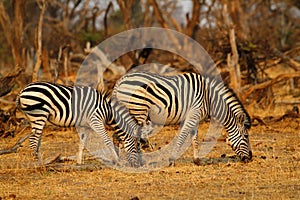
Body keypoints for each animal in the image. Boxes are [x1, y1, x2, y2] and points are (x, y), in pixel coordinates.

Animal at [15, 81, 145, 167]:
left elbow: (82, 143)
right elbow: (107, 140)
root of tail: (22, 91)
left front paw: (78, 162)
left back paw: (40, 160)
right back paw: (38, 163)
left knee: (37, 138)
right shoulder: (96, 121)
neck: (108, 110)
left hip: (34, 117)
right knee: (33, 139)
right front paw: (118, 161)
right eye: (137, 145)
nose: (139, 165)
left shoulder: (85, 126)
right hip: (39, 115)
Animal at [111, 71, 252, 164]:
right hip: (137, 110)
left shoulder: (194, 118)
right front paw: (172, 159)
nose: (250, 158)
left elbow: (195, 138)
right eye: (246, 136)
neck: (209, 98)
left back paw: (122, 161)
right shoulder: (192, 115)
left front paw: (197, 160)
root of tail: (121, 80)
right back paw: (137, 161)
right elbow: (182, 136)